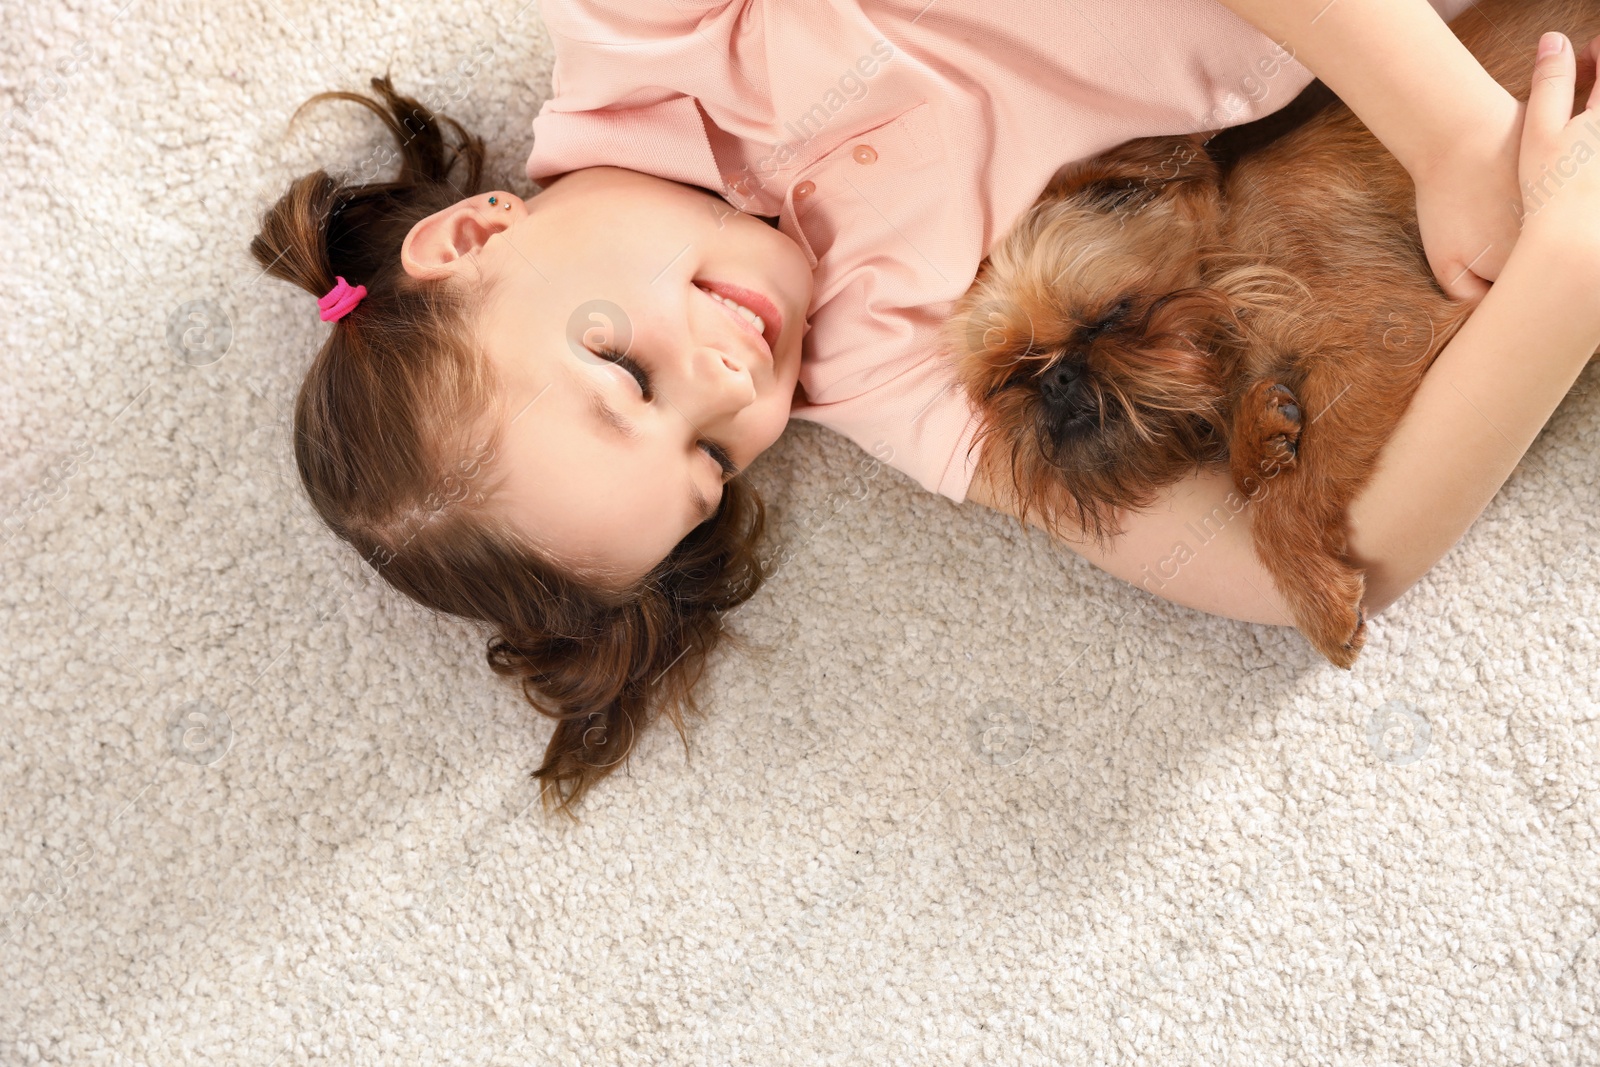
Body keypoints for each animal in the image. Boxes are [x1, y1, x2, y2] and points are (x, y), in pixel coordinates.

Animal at [947, 0, 1600, 668]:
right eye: (1009, 380)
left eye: (1111, 316)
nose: (1056, 379)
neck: (1233, 261)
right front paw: (1258, 435)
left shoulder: (1385, 338)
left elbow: (1282, 504)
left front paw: (1315, 595)